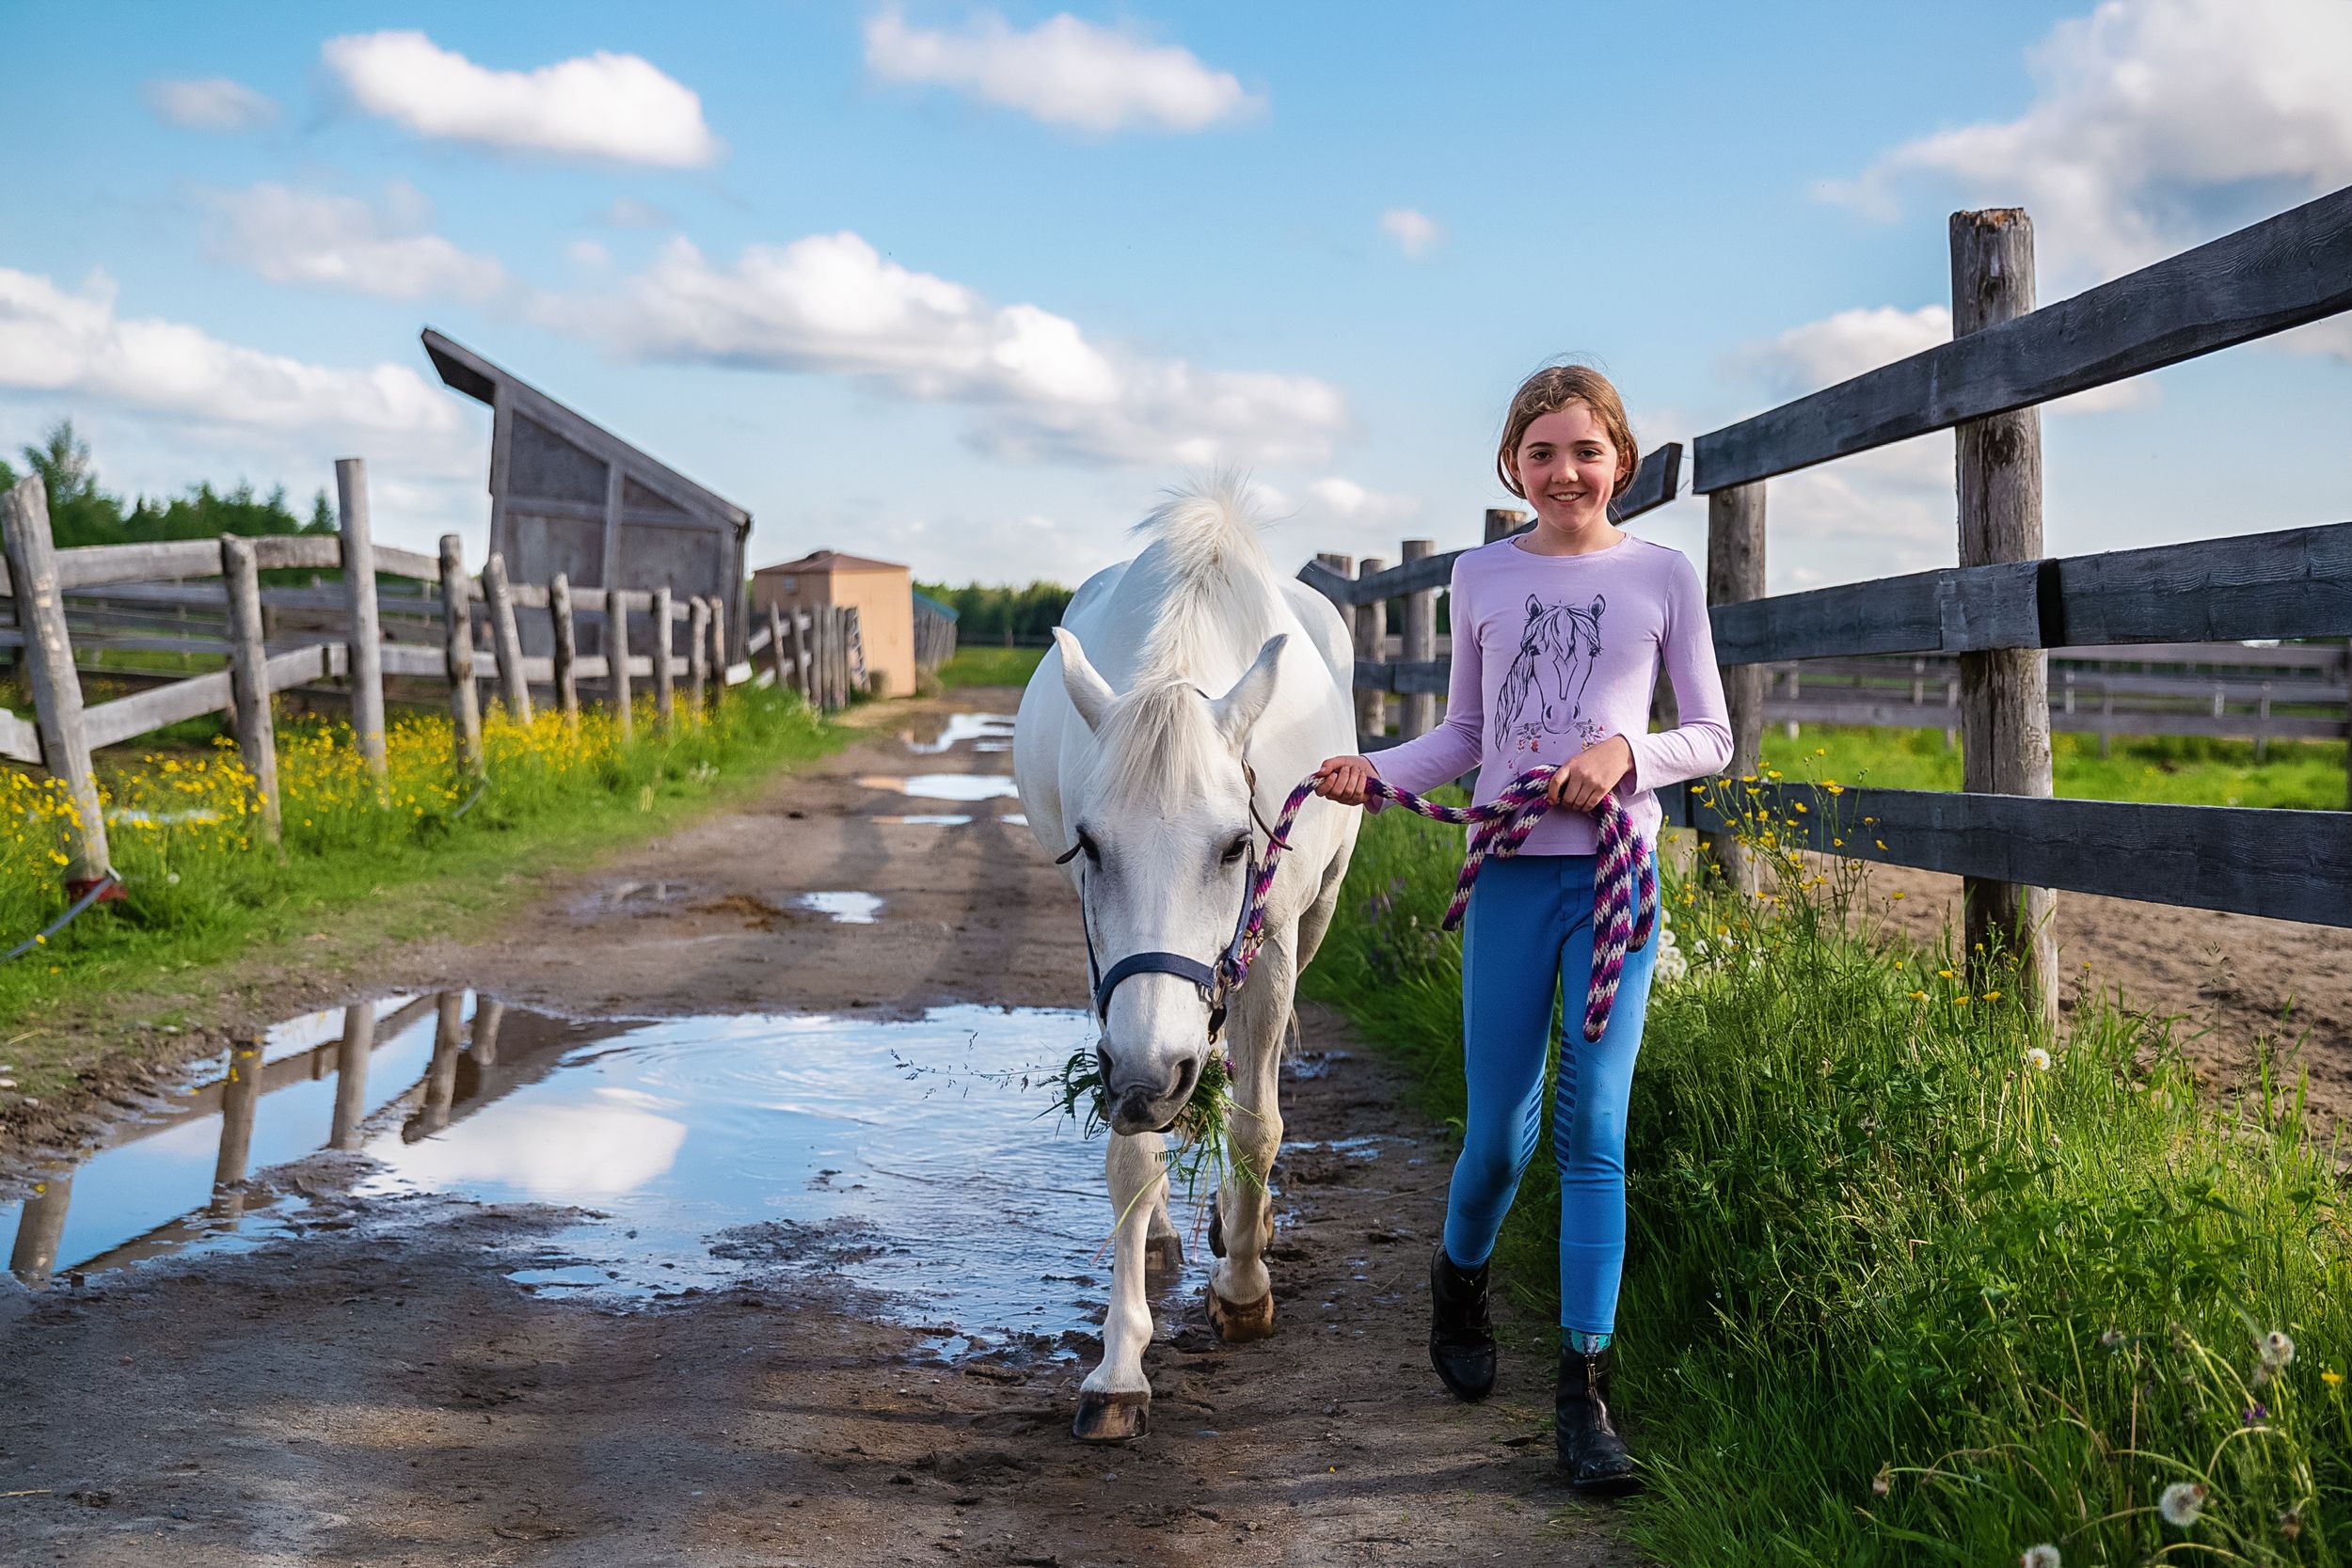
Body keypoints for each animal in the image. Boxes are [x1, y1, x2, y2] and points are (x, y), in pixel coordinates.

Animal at [1012, 478, 1360, 1442]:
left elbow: (1256, 1123)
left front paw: (1242, 1287)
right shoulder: (1110, 982)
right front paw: (1119, 1365)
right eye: (1090, 844)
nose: (1152, 1074)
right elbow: (1131, 1150)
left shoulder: (1272, 948)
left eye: (1238, 843)